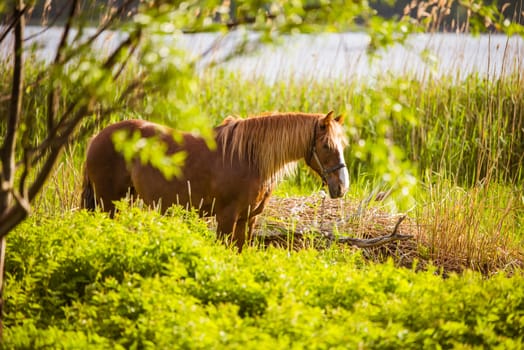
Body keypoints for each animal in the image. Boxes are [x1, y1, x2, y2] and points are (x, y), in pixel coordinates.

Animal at [81, 110, 348, 250]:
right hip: (108, 204)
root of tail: (97, 137)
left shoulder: (248, 219)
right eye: (326, 145)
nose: (342, 186)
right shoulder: (226, 217)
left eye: (343, 145)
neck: (248, 158)